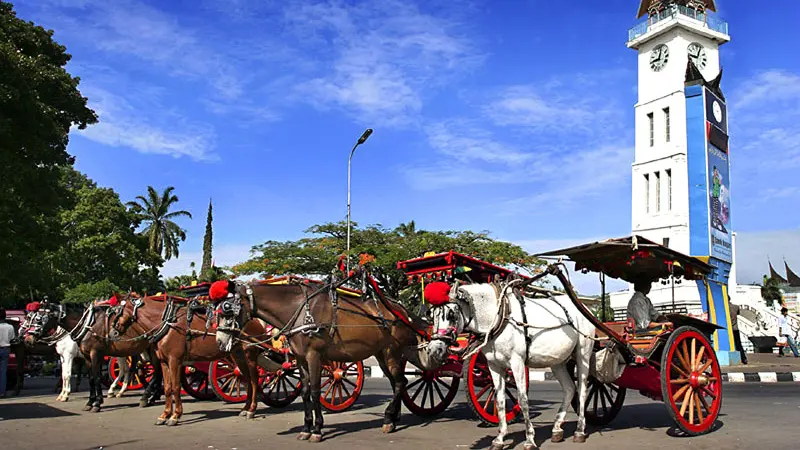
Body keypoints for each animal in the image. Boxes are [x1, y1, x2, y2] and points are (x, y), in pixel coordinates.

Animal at [109, 292, 264, 426]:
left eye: (117, 311)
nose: (111, 333)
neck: (168, 324)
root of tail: (254, 319)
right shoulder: (164, 362)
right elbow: (167, 388)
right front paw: (164, 414)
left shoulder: (175, 361)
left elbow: (176, 387)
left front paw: (175, 415)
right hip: (237, 355)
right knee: (246, 379)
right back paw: (245, 407)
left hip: (249, 353)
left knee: (254, 379)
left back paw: (252, 409)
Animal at [212, 272, 444, 442]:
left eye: (228, 310)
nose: (221, 342)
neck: (300, 311)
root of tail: (400, 311)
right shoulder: (300, 359)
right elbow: (305, 391)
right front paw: (306, 427)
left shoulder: (314, 356)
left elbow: (315, 391)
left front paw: (317, 429)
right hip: (381, 354)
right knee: (398, 382)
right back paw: (393, 417)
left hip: (391, 352)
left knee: (399, 382)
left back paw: (389, 418)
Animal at [432, 284, 592, 448]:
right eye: (432, 315)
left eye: (451, 315)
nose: (435, 349)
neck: (499, 317)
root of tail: (584, 307)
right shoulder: (494, 365)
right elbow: (500, 399)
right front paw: (500, 438)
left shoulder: (517, 363)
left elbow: (522, 399)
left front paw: (529, 439)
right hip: (557, 361)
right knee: (569, 388)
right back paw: (557, 428)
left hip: (583, 353)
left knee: (582, 390)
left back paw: (579, 430)